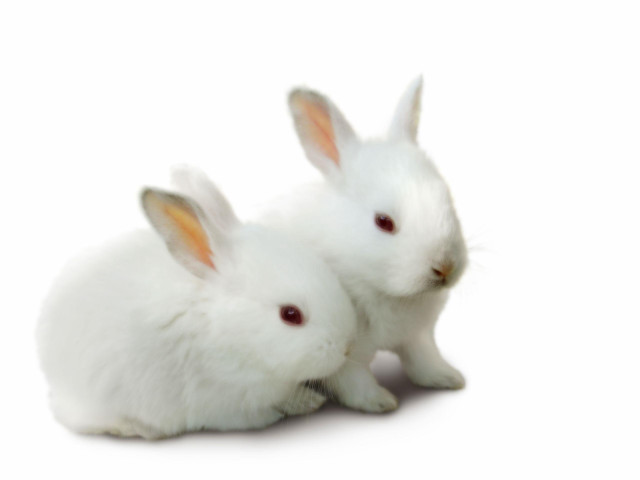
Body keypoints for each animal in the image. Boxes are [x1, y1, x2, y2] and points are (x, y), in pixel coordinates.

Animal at [36, 170, 357, 439]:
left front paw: (310, 400)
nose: (345, 348)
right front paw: (302, 405)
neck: (227, 328)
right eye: (291, 315)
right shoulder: (223, 401)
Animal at [261, 77, 468, 413]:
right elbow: (354, 381)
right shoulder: (344, 354)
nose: (445, 267)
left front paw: (448, 378)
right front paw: (381, 402)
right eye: (384, 221)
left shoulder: (418, 335)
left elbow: (424, 360)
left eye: (447, 198)